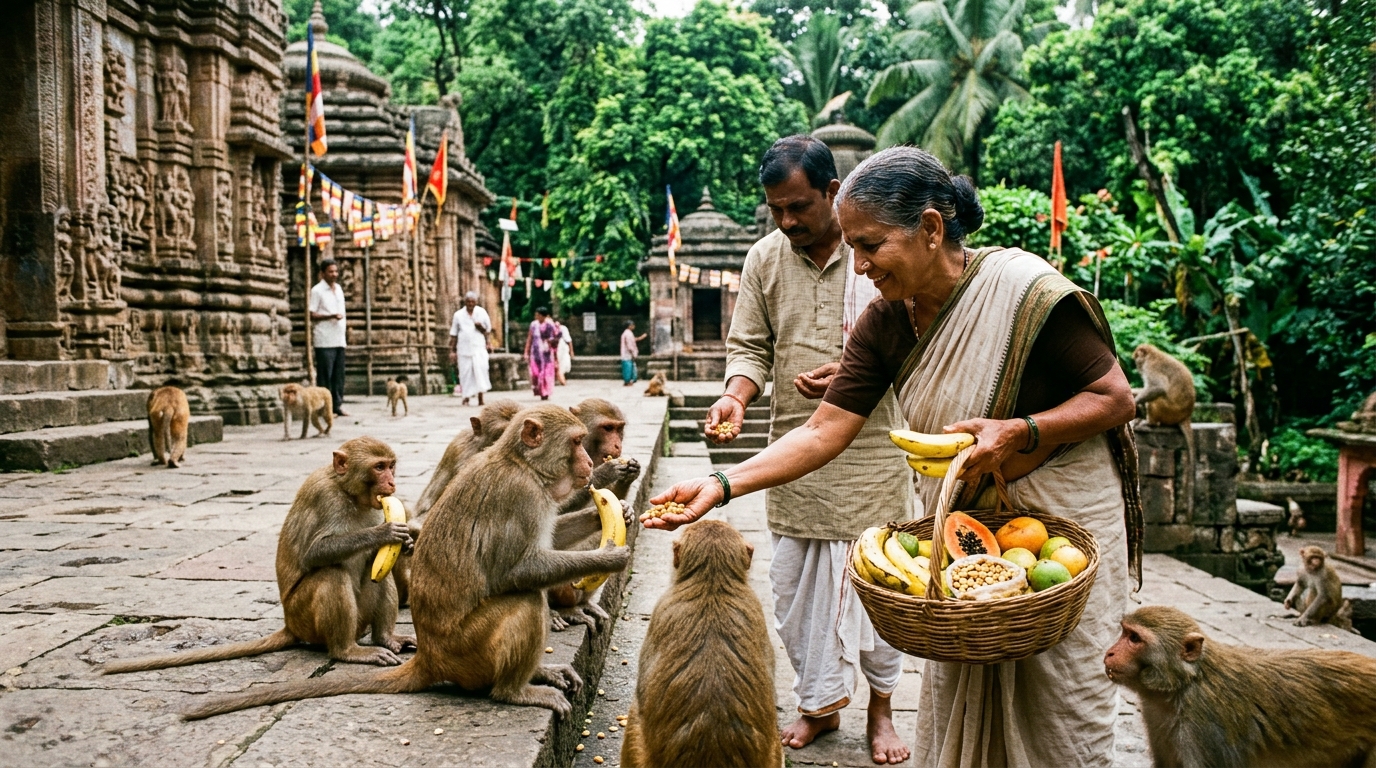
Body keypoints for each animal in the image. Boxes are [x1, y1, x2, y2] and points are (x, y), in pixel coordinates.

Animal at [104, 438, 415, 674]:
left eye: (391, 466)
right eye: (379, 467)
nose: (391, 483)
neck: (347, 491)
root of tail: (290, 625)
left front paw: (409, 541)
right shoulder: (324, 496)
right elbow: (314, 553)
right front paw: (385, 532)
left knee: (377, 571)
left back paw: (385, 638)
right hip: (303, 617)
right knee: (331, 574)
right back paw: (347, 651)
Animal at [548, 398, 641, 631]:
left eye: (618, 429)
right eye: (607, 428)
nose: (617, 446)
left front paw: (626, 507)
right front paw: (605, 471)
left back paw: (584, 604)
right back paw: (563, 611)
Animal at [1132, 343, 1196, 517]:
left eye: (1137, 359)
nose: (1137, 367)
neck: (1153, 354)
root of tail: (1186, 415)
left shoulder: (1150, 367)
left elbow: (1158, 387)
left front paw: (1135, 401)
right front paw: (1134, 391)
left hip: (1167, 410)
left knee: (1156, 398)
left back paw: (1150, 423)